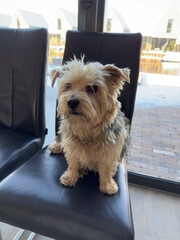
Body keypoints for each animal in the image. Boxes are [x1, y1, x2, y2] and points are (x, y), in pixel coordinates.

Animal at [48, 56, 130, 195]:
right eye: (68, 86)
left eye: (92, 88)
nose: (71, 102)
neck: (87, 127)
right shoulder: (72, 145)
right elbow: (73, 161)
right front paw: (70, 176)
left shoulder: (111, 149)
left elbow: (106, 167)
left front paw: (107, 185)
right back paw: (56, 146)